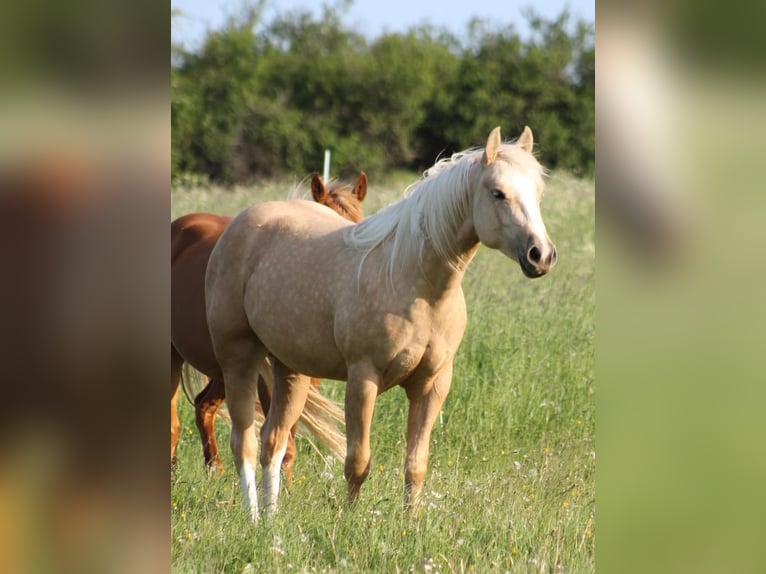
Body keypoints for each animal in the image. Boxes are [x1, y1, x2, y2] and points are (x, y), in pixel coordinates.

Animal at [206, 127, 560, 520]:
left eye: (539, 193)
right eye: (498, 193)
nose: (541, 255)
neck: (414, 281)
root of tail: (238, 226)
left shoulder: (433, 385)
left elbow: (416, 464)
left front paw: (410, 523)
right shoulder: (364, 379)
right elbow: (357, 461)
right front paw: (348, 519)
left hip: (291, 370)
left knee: (274, 440)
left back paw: (272, 519)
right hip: (238, 359)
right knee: (244, 442)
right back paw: (254, 518)